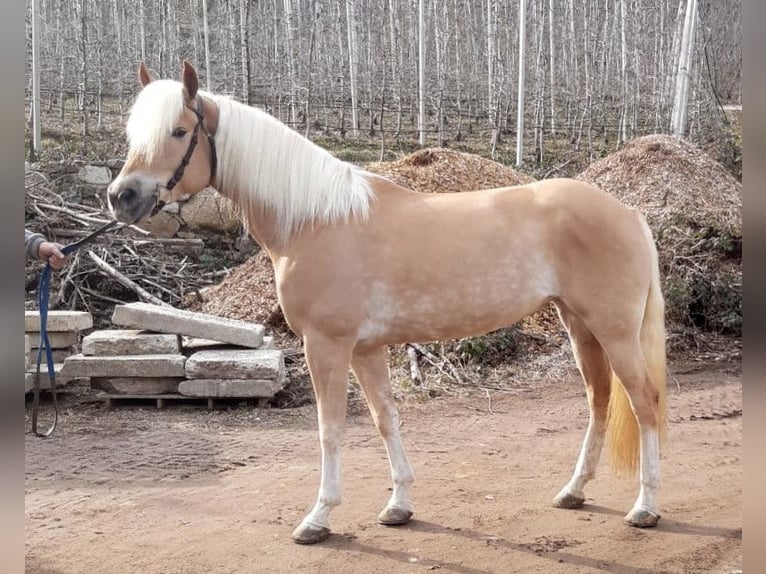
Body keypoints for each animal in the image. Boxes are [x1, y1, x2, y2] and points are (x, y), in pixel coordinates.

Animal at [106, 60, 664, 548]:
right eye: (136, 135)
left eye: (180, 131)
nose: (121, 197)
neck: (315, 221)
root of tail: (629, 213)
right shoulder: (365, 349)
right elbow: (384, 419)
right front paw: (399, 506)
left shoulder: (326, 345)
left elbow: (330, 430)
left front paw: (318, 518)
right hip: (579, 325)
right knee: (599, 400)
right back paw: (573, 492)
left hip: (614, 330)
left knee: (644, 403)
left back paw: (645, 508)